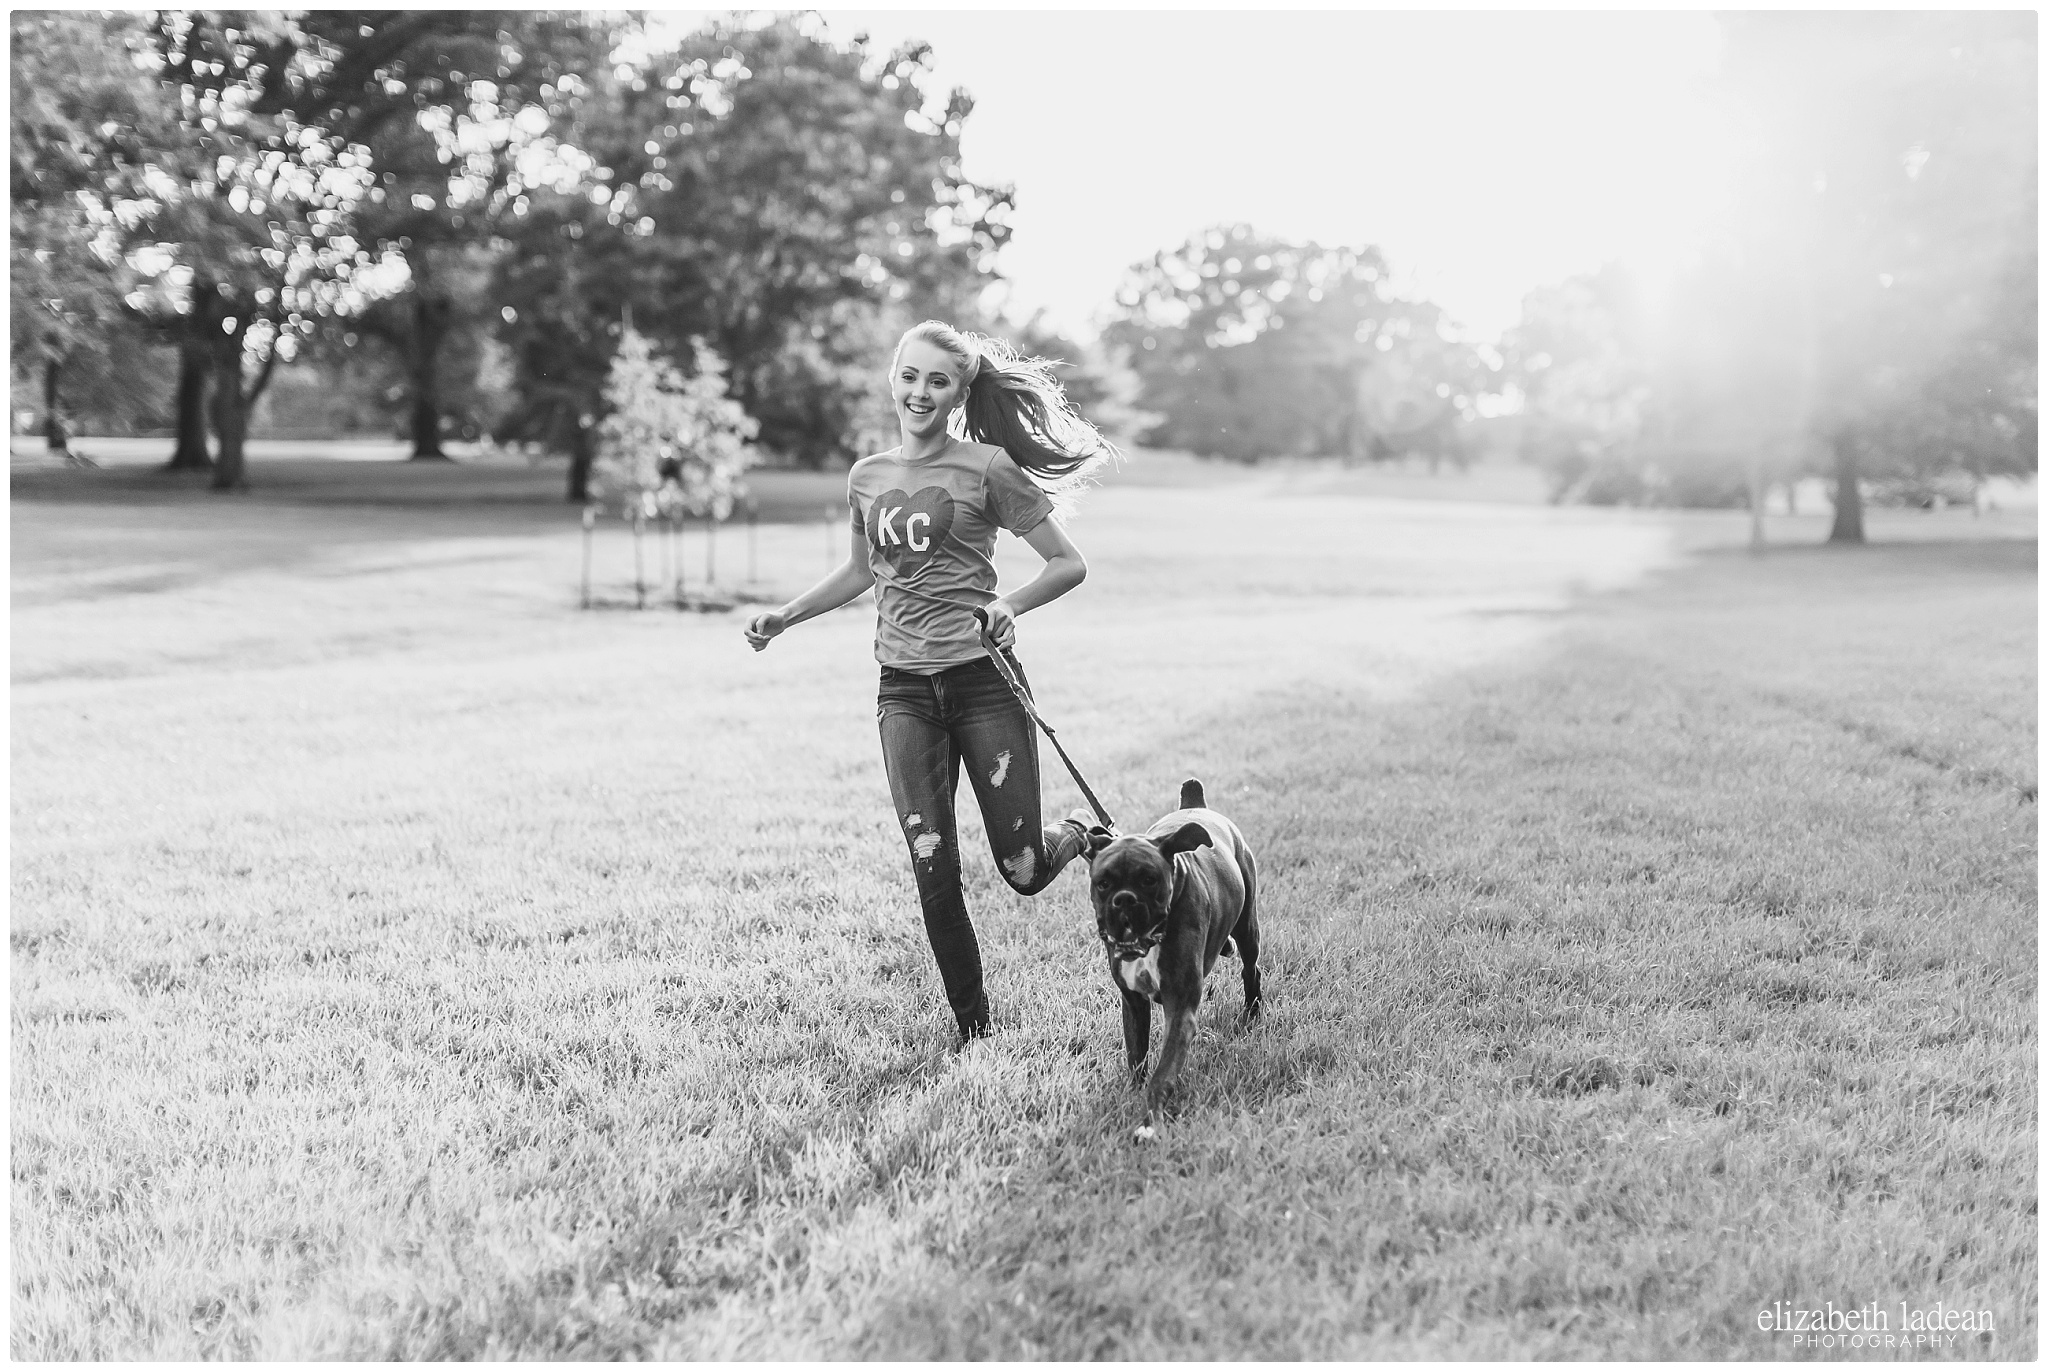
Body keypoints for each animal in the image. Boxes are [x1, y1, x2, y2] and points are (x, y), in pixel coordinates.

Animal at [1089, 778, 1261, 1146]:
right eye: (1103, 883)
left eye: (1149, 879)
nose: (1124, 900)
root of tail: (1194, 804)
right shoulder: (1134, 1003)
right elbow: (1136, 1055)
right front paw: (1134, 1094)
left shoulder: (1179, 1010)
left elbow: (1163, 1071)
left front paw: (1150, 1120)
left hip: (1249, 928)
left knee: (1250, 969)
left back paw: (1253, 1014)